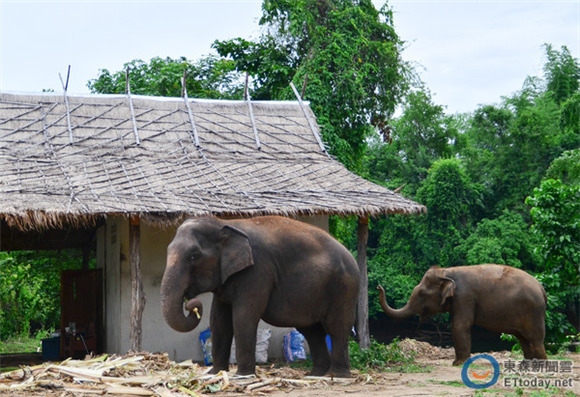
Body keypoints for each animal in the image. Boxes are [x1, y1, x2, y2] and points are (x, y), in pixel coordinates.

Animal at [159, 215, 358, 376]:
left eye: (194, 256)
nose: (191, 303)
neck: (224, 224)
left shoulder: (257, 271)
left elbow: (243, 317)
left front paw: (242, 376)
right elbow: (218, 320)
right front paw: (215, 373)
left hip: (343, 287)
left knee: (336, 327)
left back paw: (337, 375)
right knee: (312, 331)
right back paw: (316, 374)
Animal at [376, 264, 548, 364]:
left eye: (422, 293)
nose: (378, 286)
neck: (447, 271)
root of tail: (542, 288)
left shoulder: (464, 297)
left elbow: (459, 326)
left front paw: (459, 364)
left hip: (533, 312)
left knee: (535, 340)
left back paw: (541, 366)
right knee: (523, 339)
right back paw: (526, 364)